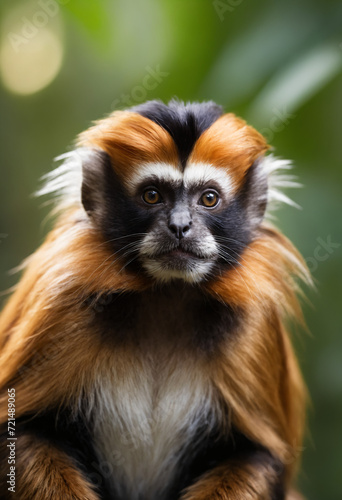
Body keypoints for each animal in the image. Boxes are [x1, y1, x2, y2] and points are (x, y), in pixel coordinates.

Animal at [0, 99, 312, 498]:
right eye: (152, 195)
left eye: (208, 198)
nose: (180, 227)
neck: (168, 295)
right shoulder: (63, 303)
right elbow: (22, 432)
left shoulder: (253, 326)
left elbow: (258, 455)